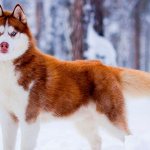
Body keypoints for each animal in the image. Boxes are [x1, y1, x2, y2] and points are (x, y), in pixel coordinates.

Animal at [0, 4, 149, 149]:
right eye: (0, 32)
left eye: (13, 33)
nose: (3, 45)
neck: (8, 69)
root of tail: (105, 66)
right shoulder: (8, 119)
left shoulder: (29, 119)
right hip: (84, 121)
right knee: (97, 140)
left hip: (109, 119)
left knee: (128, 136)